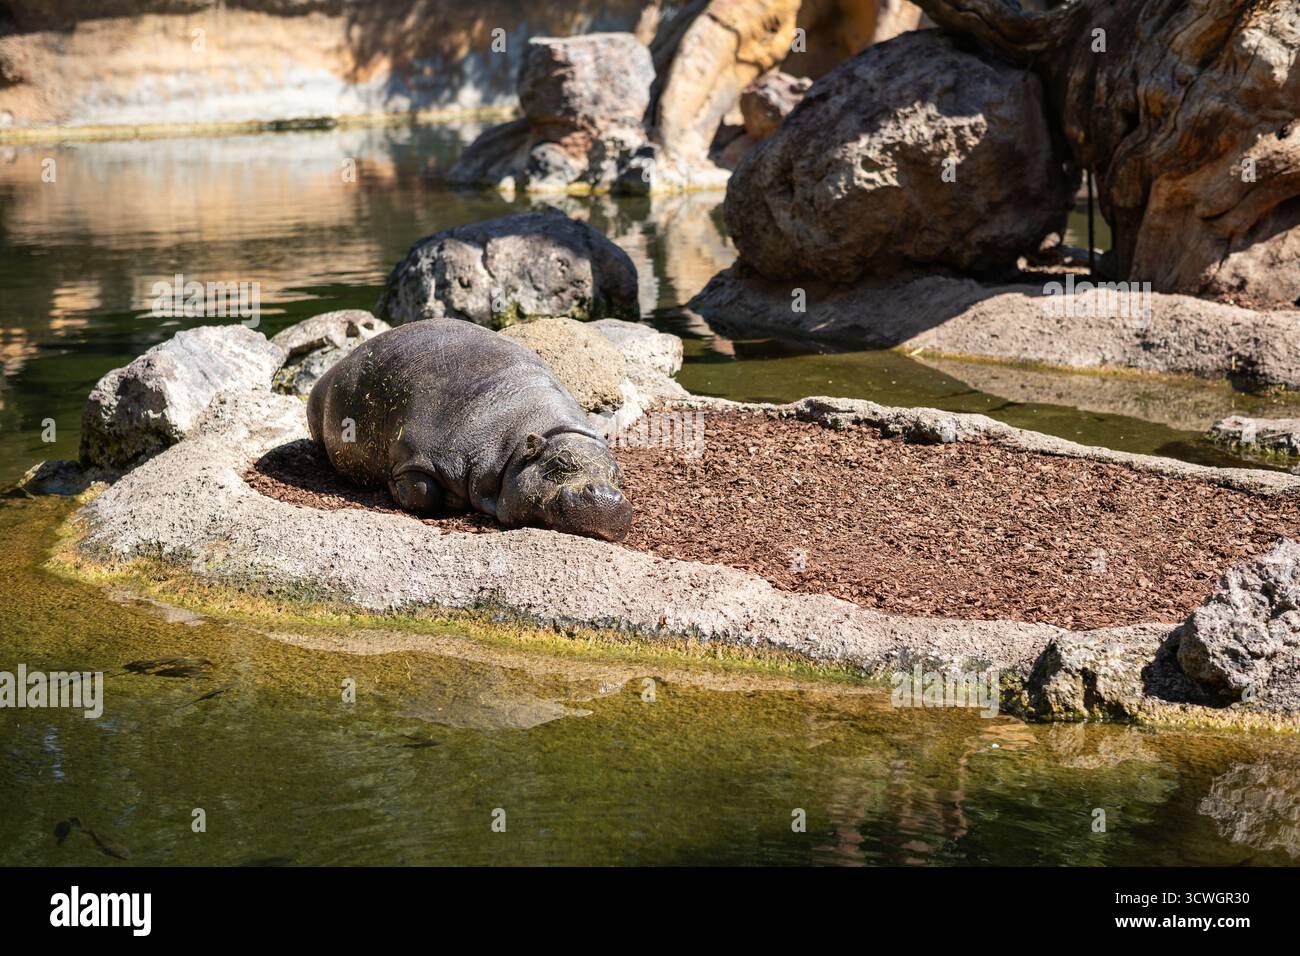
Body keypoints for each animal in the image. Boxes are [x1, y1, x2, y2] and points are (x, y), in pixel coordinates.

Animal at [306, 319, 633, 541]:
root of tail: (336, 367)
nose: (607, 496)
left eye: (617, 477)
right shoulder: (419, 456)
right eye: (561, 462)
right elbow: (422, 491)